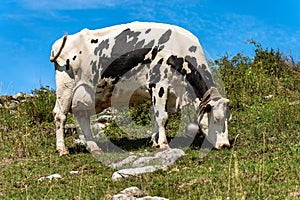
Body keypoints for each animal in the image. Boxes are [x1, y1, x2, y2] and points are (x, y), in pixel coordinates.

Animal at [49, 21, 232, 156]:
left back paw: (95, 148)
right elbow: (162, 117)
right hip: (66, 85)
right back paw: (62, 150)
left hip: (85, 93)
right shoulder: (159, 84)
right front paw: (164, 144)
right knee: (60, 115)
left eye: (228, 119)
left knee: (82, 116)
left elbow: (156, 116)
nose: (225, 145)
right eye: (216, 118)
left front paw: (155, 142)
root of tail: (62, 42)